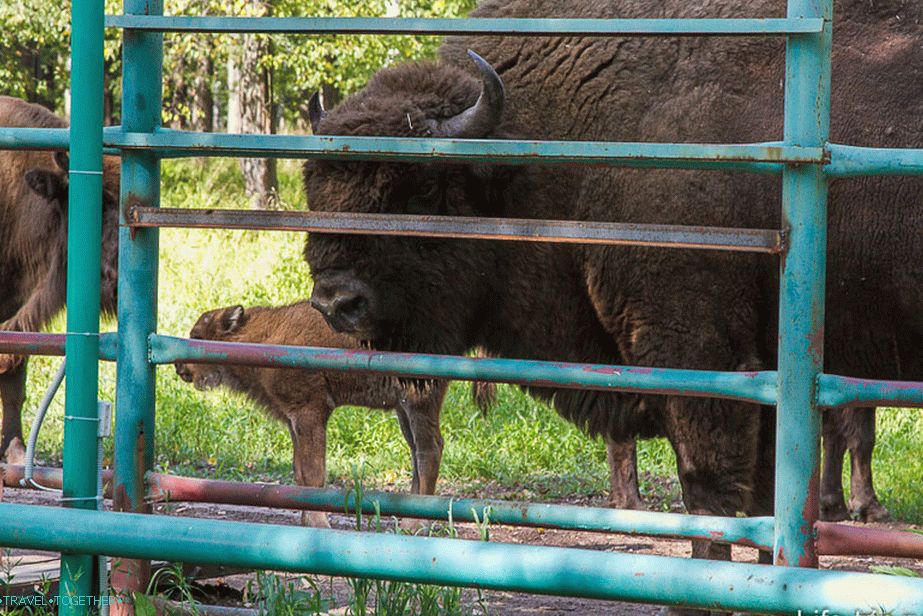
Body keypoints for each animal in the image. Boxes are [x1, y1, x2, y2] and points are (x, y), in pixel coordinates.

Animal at [174, 300, 490, 528]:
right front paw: (305, 520)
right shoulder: (293, 421)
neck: (262, 335)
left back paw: (415, 524)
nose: (179, 367)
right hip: (403, 411)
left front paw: (318, 524)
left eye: (197, 336)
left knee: (429, 451)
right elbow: (299, 472)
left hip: (418, 404)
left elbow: (314, 474)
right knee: (417, 453)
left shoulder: (310, 412)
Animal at [302, 0, 916, 608]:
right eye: (315, 191)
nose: (337, 301)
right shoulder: (762, 378)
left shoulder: (701, 358)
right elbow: (765, 499)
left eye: (423, 188)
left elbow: (710, 493)